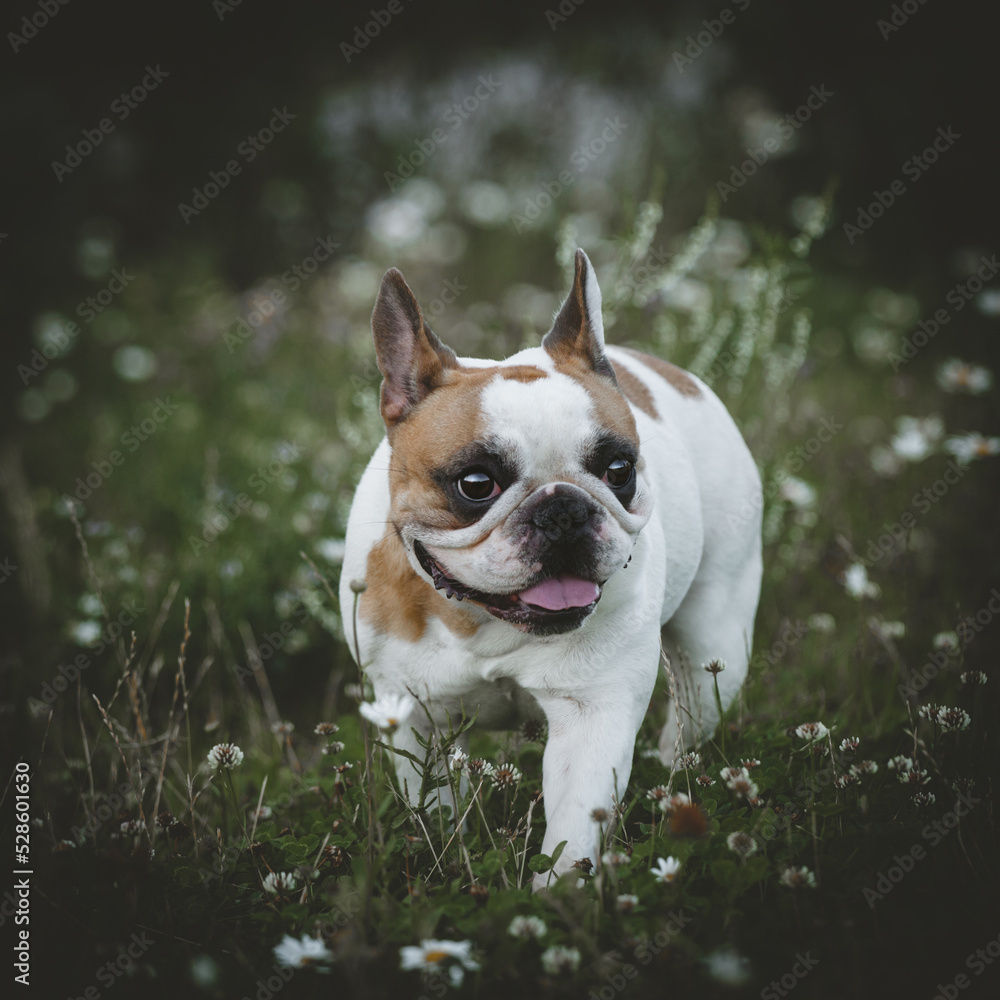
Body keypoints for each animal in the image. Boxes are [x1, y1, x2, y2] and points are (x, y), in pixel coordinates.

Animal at [340, 252, 760, 884]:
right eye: (476, 484)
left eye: (618, 470)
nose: (563, 509)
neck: (483, 622)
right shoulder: (410, 714)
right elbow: (432, 803)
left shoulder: (593, 714)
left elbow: (572, 834)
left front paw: (559, 893)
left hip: (719, 645)